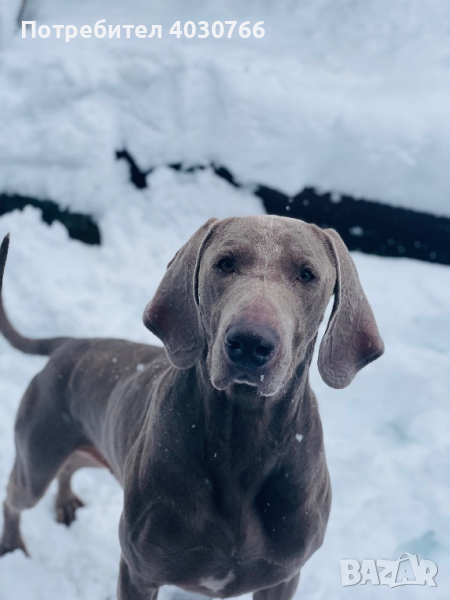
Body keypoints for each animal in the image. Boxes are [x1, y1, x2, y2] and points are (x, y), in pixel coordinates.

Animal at [0, 217, 384, 600]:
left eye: (307, 274)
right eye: (225, 263)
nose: (250, 343)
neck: (243, 438)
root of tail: (68, 344)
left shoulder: (282, 579)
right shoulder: (140, 572)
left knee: (69, 467)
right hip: (37, 458)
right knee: (15, 497)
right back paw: (13, 546)